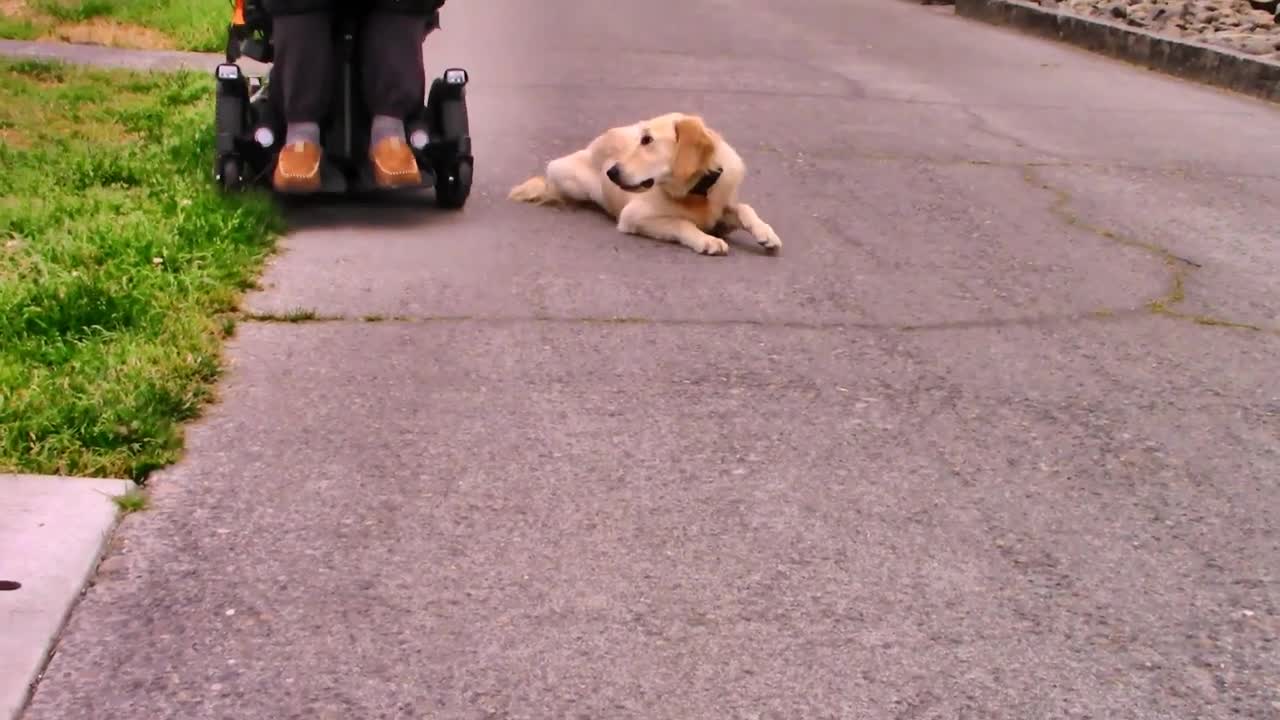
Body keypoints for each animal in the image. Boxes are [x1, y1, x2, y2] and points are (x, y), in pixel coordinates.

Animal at [509, 110, 778, 256]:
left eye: (648, 140)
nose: (611, 173)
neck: (696, 193)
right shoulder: (632, 216)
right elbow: (681, 222)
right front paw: (707, 240)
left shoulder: (720, 209)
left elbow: (744, 208)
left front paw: (766, 232)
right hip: (568, 177)